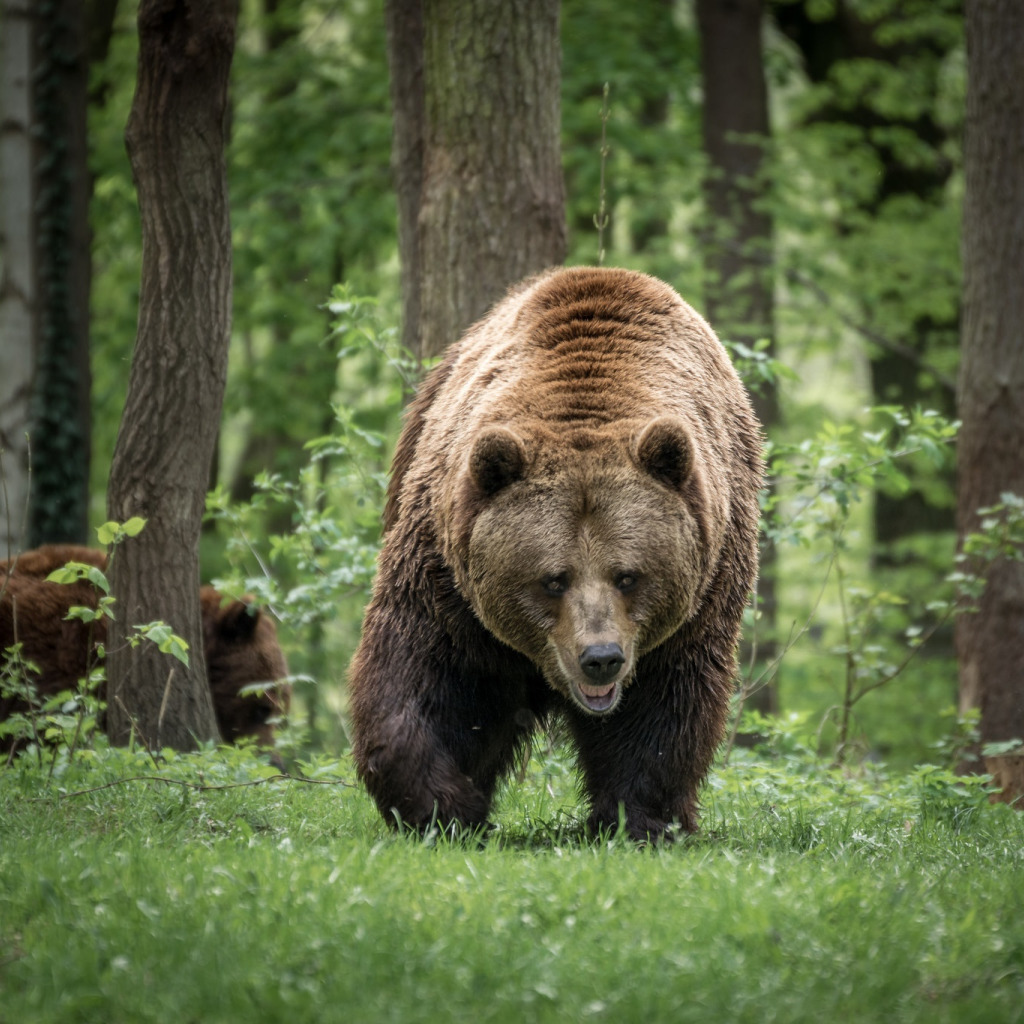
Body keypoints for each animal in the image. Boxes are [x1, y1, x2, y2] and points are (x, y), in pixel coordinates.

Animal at [348, 264, 765, 839]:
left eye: (628, 575)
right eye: (553, 578)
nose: (601, 658)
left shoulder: (703, 588)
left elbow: (665, 708)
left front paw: (638, 818)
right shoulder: (446, 579)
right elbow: (421, 673)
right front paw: (443, 805)